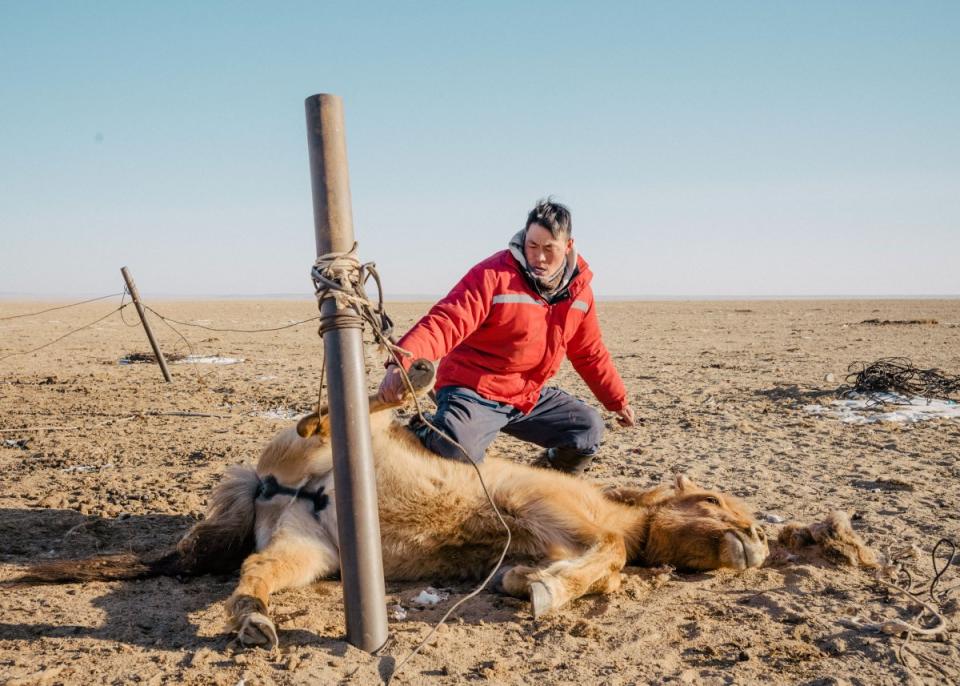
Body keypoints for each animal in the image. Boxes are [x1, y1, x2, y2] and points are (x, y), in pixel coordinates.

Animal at [15, 392, 768, 652]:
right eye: (715, 501)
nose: (759, 537)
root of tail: (269, 486)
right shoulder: (539, 507)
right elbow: (608, 553)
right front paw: (545, 587)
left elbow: (598, 564)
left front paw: (525, 582)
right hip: (328, 440)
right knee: (330, 414)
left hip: (306, 551)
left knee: (251, 570)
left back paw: (256, 622)